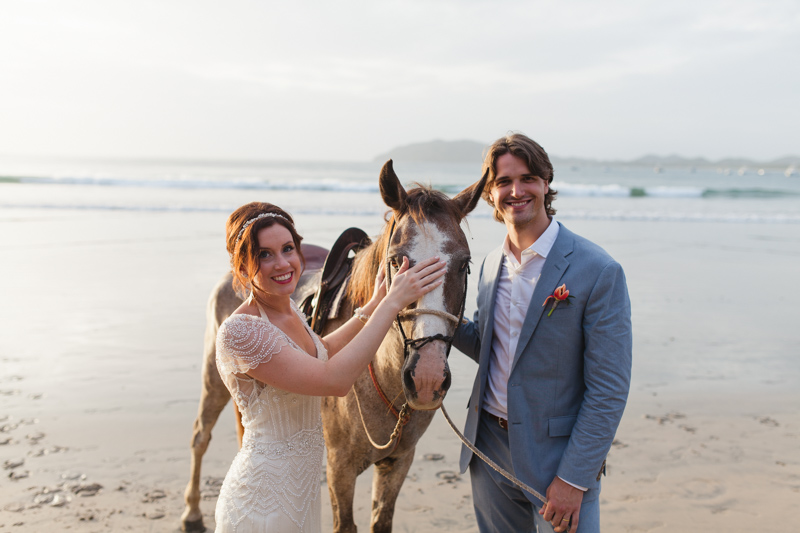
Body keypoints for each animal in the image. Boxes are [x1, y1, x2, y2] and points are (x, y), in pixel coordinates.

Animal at [180, 160, 488, 528]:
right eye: (396, 261)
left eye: (464, 264)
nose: (427, 377)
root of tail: (235, 275)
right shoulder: (340, 469)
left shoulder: (399, 463)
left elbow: (380, 521)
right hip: (214, 378)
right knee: (200, 436)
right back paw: (192, 512)